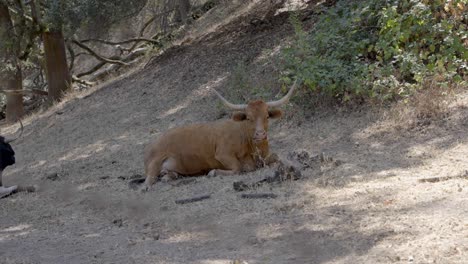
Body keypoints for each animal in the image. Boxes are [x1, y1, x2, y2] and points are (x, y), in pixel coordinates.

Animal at [141, 81, 298, 191]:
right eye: (248, 118)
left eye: (267, 116)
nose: (260, 134)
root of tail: (152, 144)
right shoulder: (223, 154)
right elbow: (238, 168)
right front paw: (213, 172)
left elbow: (276, 156)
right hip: (155, 161)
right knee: (149, 178)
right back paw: (147, 187)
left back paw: (168, 177)